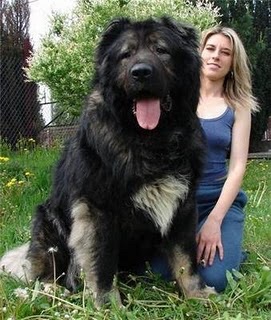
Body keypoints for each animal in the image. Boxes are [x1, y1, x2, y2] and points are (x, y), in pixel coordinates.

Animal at [0, 16, 217, 304]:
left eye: (161, 50)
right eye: (126, 54)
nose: (141, 72)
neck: (149, 139)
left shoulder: (182, 206)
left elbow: (186, 259)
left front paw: (197, 294)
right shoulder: (96, 209)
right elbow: (101, 262)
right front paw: (107, 303)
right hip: (47, 224)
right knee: (45, 271)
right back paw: (51, 289)